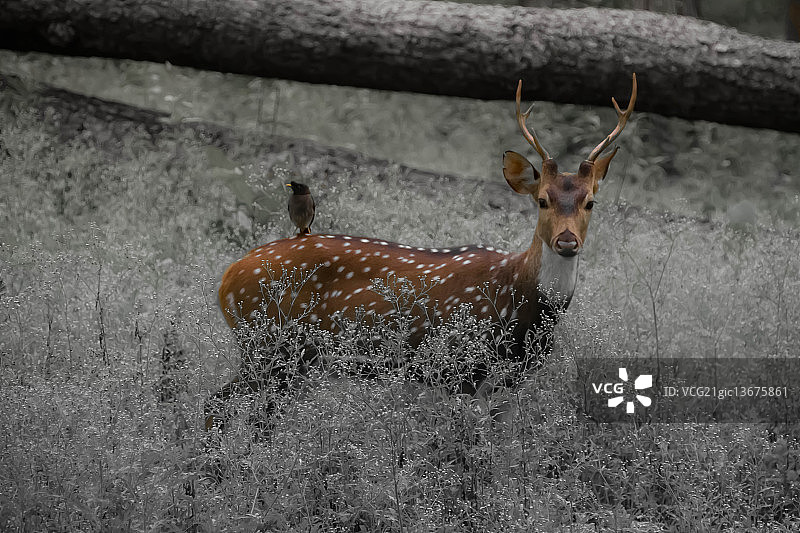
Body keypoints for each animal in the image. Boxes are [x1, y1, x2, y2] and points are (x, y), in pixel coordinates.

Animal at [205, 74, 637, 432]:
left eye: (591, 202)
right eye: (543, 200)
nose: (567, 242)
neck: (522, 300)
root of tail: (226, 278)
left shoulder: (513, 379)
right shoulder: (460, 367)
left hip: (289, 360)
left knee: (258, 418)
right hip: (266, 344)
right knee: (215, 404)